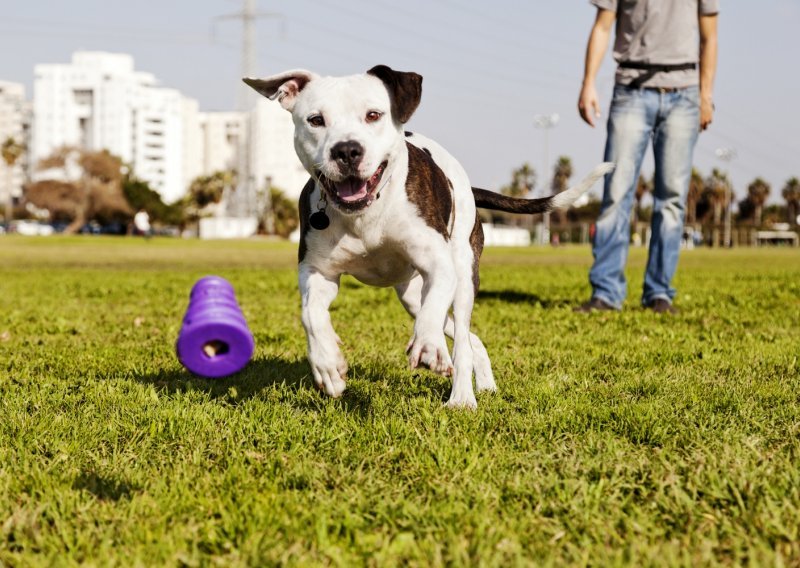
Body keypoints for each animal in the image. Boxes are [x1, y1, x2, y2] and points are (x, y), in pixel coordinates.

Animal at [244, 65, 612, 408]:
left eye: (373, 115)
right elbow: (311, 315)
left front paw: (429, 347)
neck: (366, 213)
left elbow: (432, 316)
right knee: (469, 337)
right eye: (316, 120)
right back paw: (484, 383)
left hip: (463, 275)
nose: (347, 150)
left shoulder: (440, 265)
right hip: (410, 294)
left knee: (460, 335)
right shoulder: (317, 273)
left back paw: (462, 396)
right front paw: (328, 365)